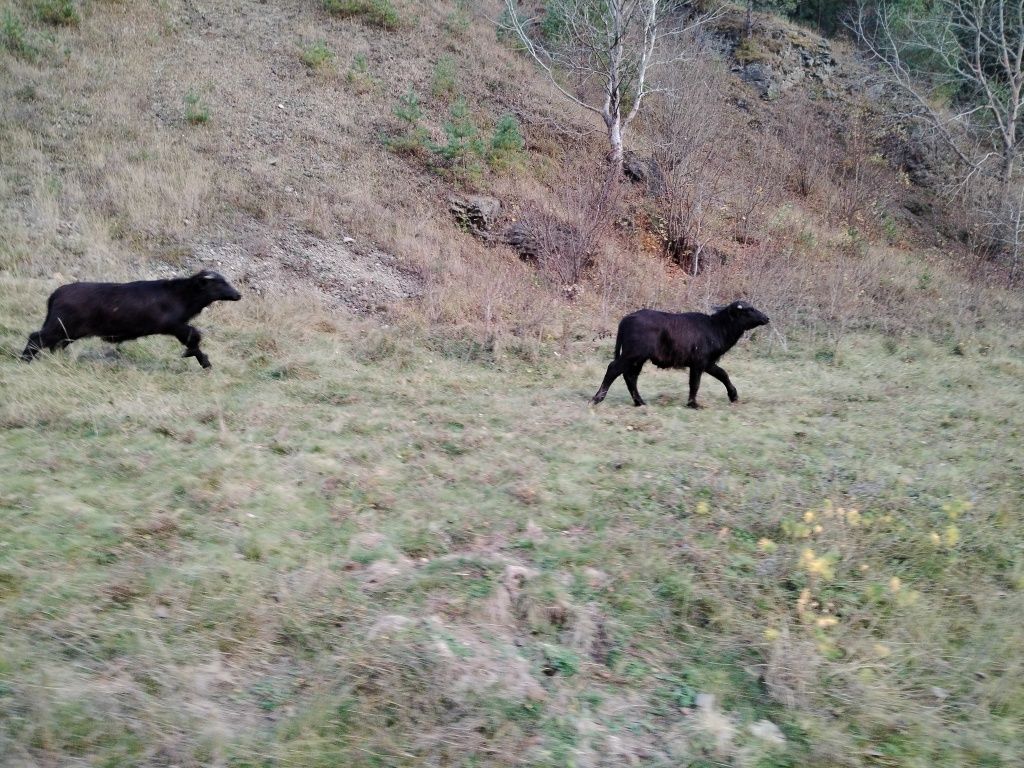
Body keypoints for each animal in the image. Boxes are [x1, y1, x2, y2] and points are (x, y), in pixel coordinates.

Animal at [20, 270, 241, 370]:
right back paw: (24, 361)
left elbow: (193, 340)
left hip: (68, 331)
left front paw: (203, 361)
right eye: (219, 284)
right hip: (58, 326)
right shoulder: (172, 325)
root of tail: (56, 294)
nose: (238, 295)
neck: (180, 295)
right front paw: (203, 361)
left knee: (55, 345)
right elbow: (193, 337)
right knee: (36, 338)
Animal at [593, 301, 770, 409]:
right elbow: (695, 383)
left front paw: (733, 396)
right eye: (749, 309)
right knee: (613, 369)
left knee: (630, 377)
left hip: (638, 359)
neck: (715, 327)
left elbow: (723, 374)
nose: (766, 318)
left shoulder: (708, 363)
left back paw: (640, 402)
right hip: (632, 355)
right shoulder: (698, 364)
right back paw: (597, 398)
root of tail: (627, 318)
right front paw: (693, 404)